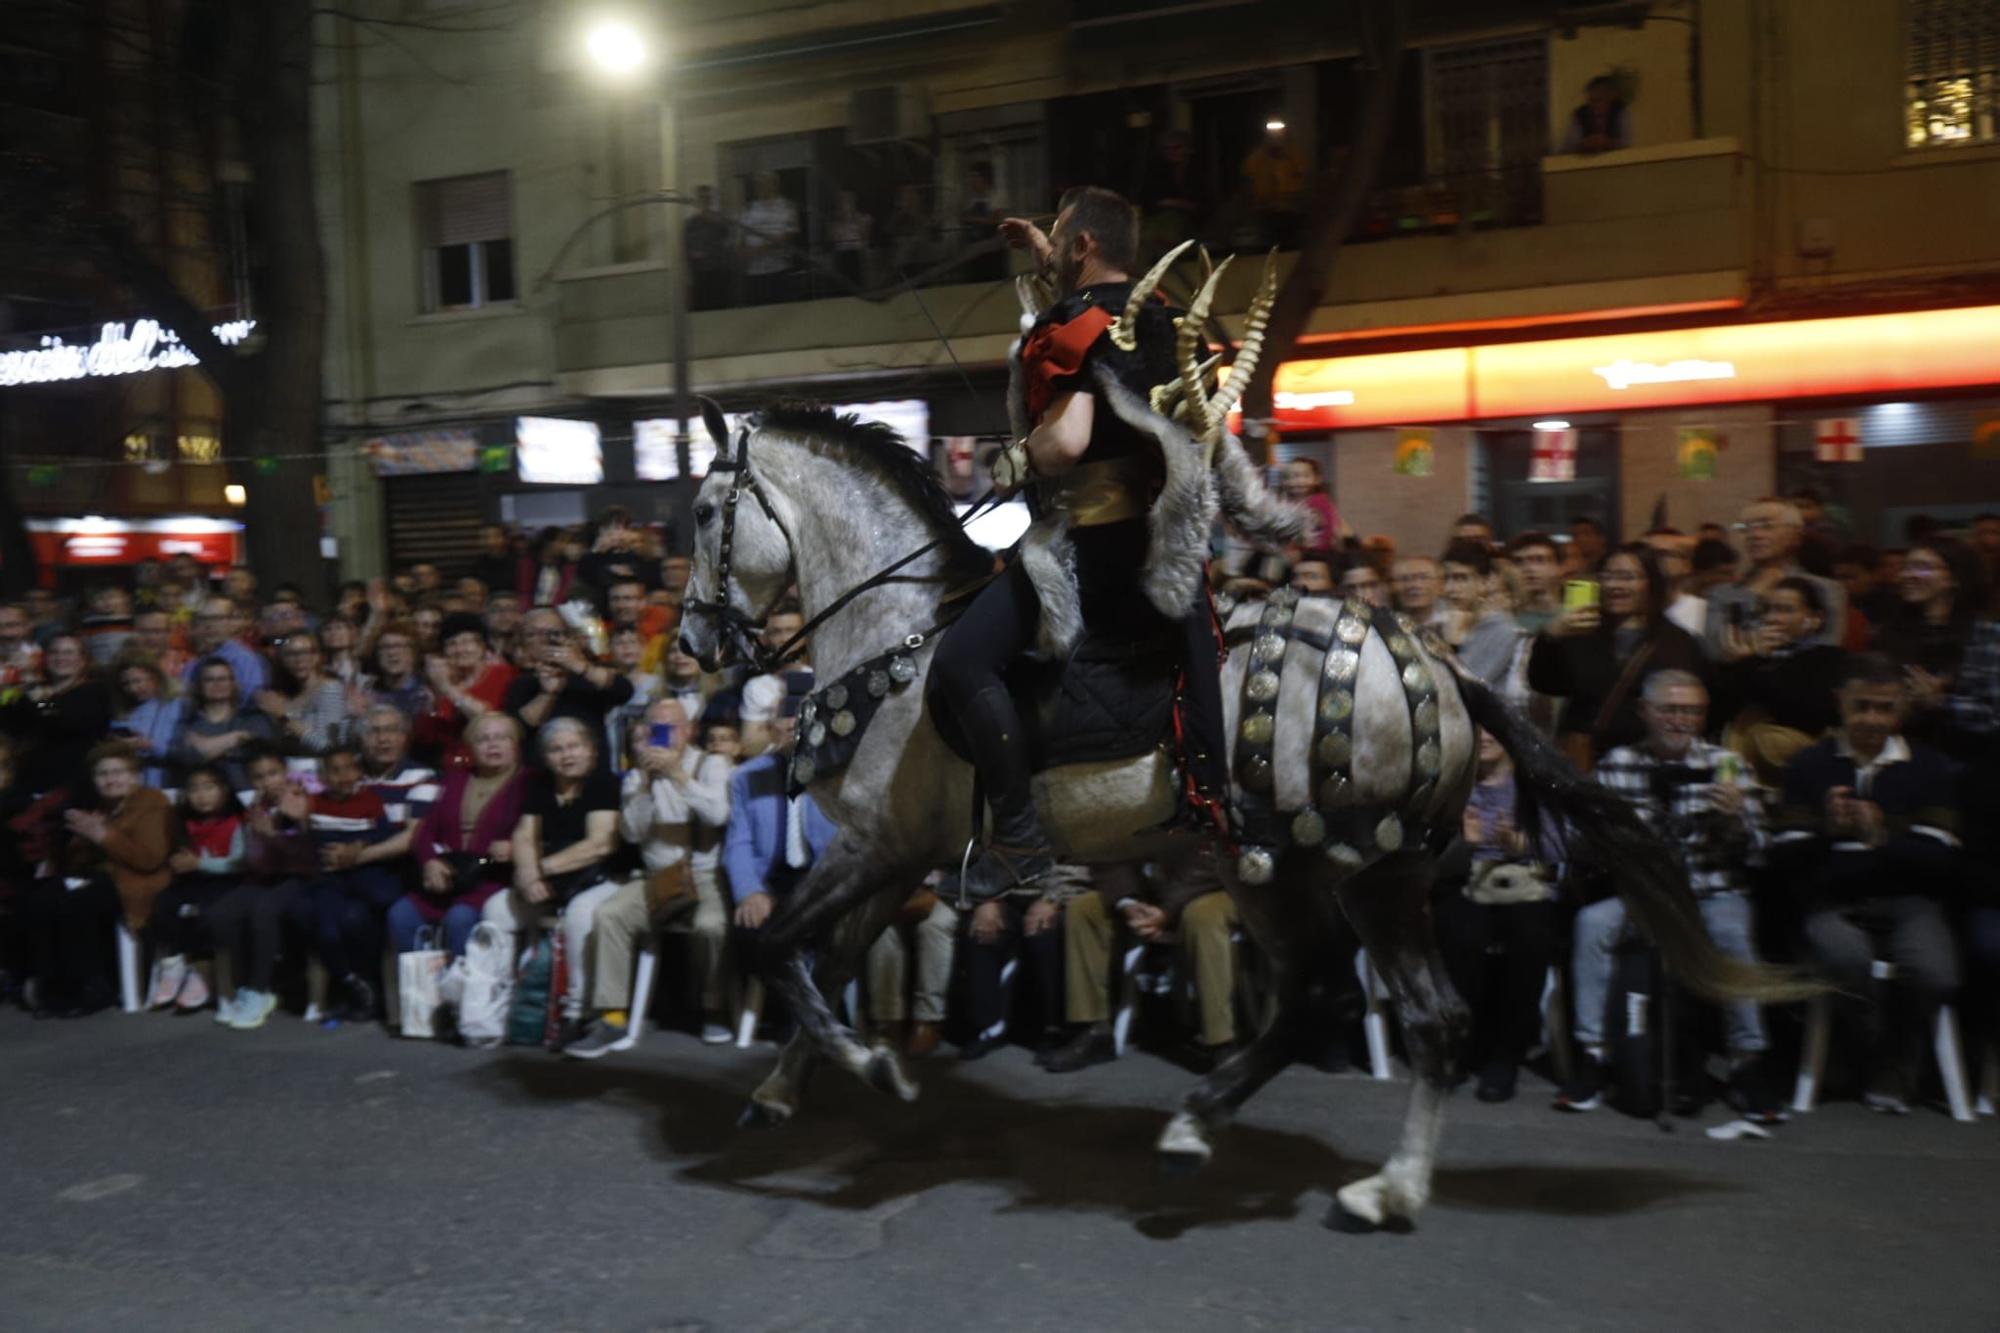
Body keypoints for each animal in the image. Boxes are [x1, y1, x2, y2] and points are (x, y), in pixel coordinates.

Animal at [676, 402, 1800, 1224]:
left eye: (701, 511)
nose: (692, 643)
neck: (897, 635)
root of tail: (1442, 670)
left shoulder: (877, 845)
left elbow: (781, 947)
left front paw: (868, 1064)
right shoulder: (896, 854)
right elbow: (820, 959)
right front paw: (788, 1085)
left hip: (1306, 869)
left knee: (1324, 999)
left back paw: (1209, 1131)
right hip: (1377, 874)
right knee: (1422, 1016)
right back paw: (1387, 1185)